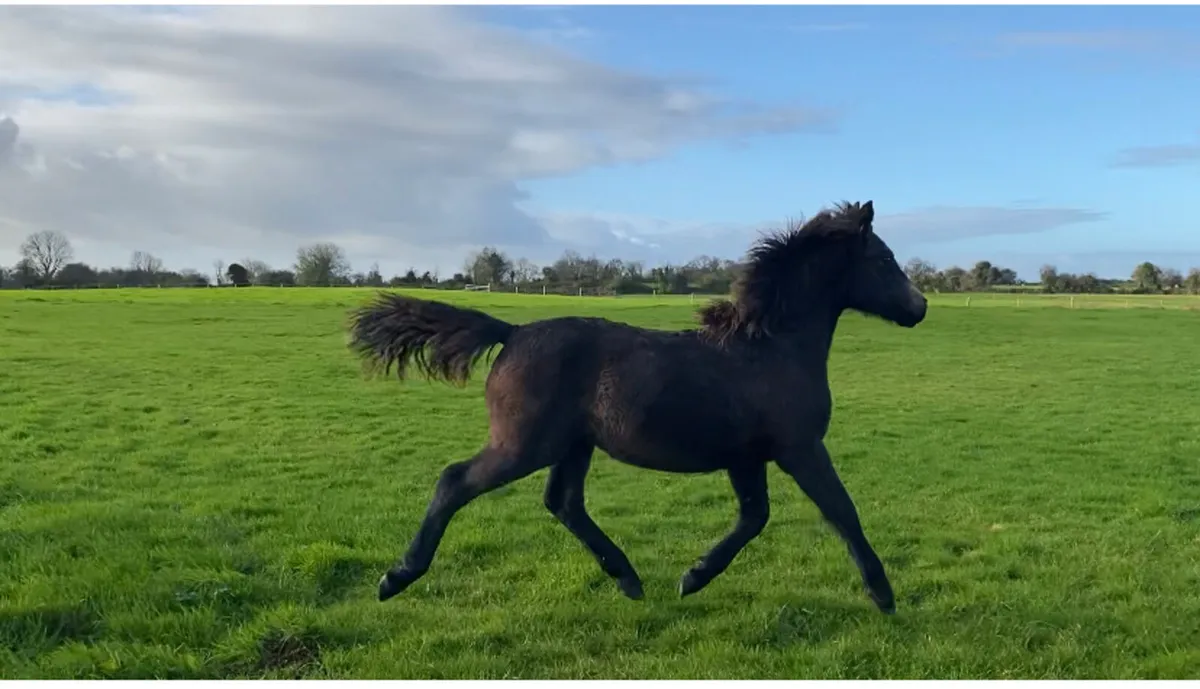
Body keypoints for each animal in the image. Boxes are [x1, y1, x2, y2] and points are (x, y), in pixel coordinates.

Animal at [347, 200, 927, 613]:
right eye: (884, 259)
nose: (919, 308)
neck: (771, 346)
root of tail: (511, 332)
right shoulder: (800, 447)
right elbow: (841, 510)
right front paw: (883, 595)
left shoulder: (746, 457)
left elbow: (754, 517)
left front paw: (693, 577)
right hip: (524, 444)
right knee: (455, 481)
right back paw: (396, 577)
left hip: (572, 445)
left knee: (563, 503)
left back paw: (628, 578)